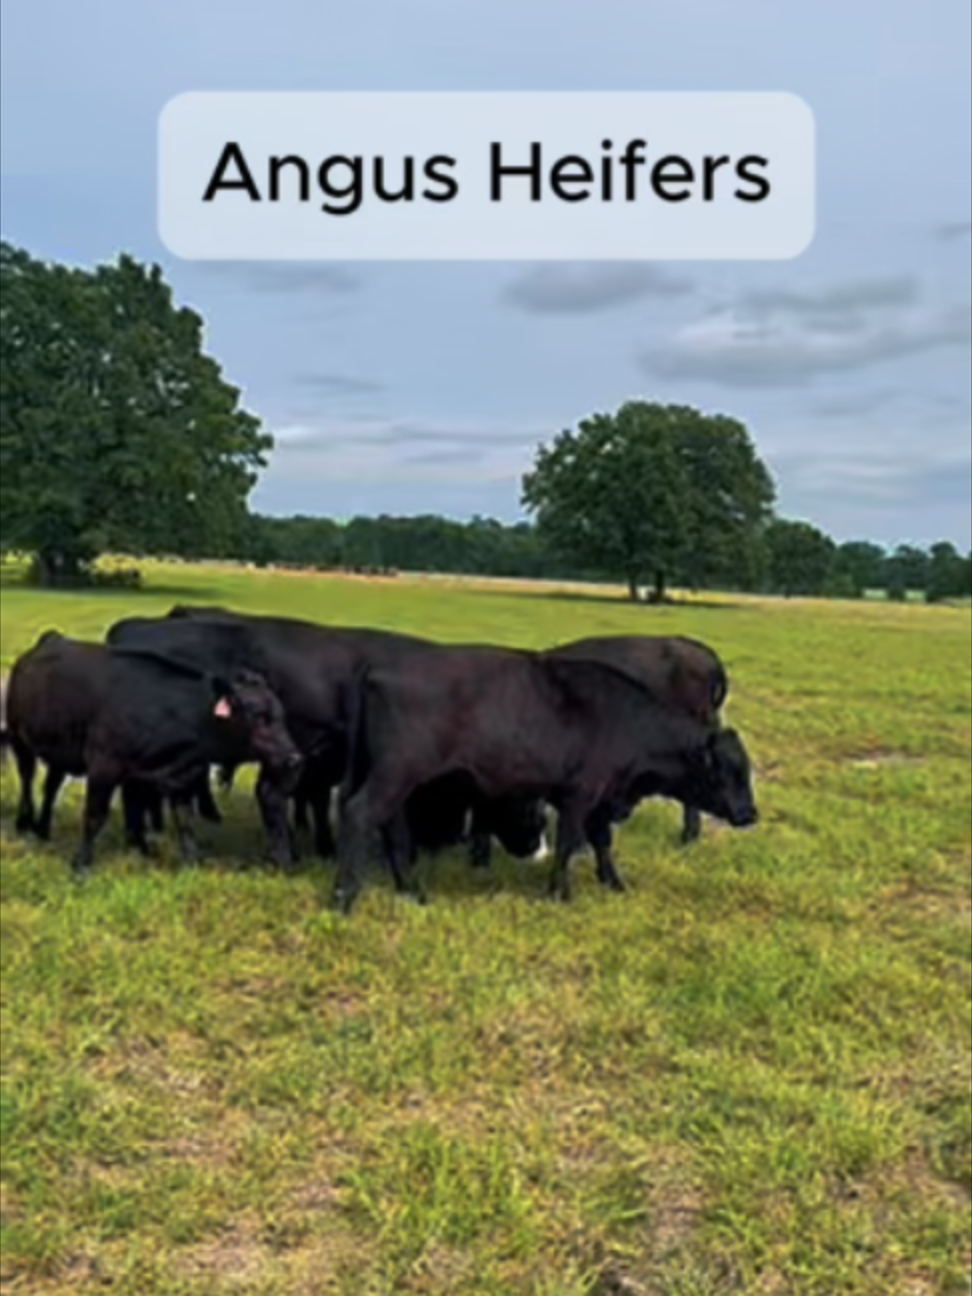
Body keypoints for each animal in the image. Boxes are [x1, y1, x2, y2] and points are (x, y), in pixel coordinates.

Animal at [4, 631, 303, 877]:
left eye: (282, 715)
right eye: (258, 716)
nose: (293, 758)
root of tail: (51, 639)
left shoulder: (176, 776)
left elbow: (183, 821)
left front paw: (188, 863)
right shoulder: (104, 766)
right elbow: (95, 815)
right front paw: (81, 866)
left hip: (61, 751)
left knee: (51, 787)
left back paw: (43, 829)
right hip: (19, 739)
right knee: (27, 780)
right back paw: (23, 824)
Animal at [330, 645, 758, 915]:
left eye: (746, 769)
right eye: (725, 772)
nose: (750, 814)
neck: (624, 720)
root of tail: (376, 668)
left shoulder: (599, 800)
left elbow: (602, 842)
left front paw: (613, 882)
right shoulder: (578, 796)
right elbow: (568, 845)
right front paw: (559, 892)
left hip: (394, 780)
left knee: (390, 827)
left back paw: (410, 890)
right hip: (394, 774)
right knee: (358, 815)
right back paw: (343, 896)